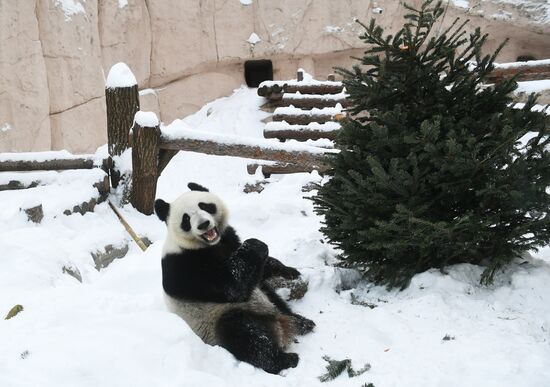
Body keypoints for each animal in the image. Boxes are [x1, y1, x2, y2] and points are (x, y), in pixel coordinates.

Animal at [157, 183, 316, 374]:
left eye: (204, 206)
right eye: (186, 219)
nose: (203, 224)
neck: (208, 245)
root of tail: (280, 325)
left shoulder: (228, 239)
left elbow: (259, 268)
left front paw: (289, 270)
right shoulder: (182, 266)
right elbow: (230, 287)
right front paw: (254, 244)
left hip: (266, 296)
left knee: (274, 298)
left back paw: (302, 322)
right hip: (218, 320)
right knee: (245, 335)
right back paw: (284, 359)